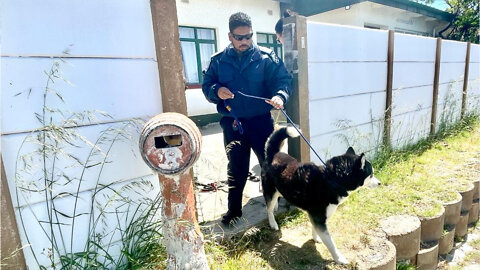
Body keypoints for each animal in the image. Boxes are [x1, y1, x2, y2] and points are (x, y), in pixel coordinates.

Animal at [260, 127, 380, 264]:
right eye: (371, 174)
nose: (380, 183)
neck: (331, 180)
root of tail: (273, 154)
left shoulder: (319, 216)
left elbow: (316, 229)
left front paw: (316, 238)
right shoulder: (319, 218)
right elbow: (331, 243)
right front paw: (339, 259)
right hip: (270, 192)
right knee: (268, 209)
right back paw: (273, 223)